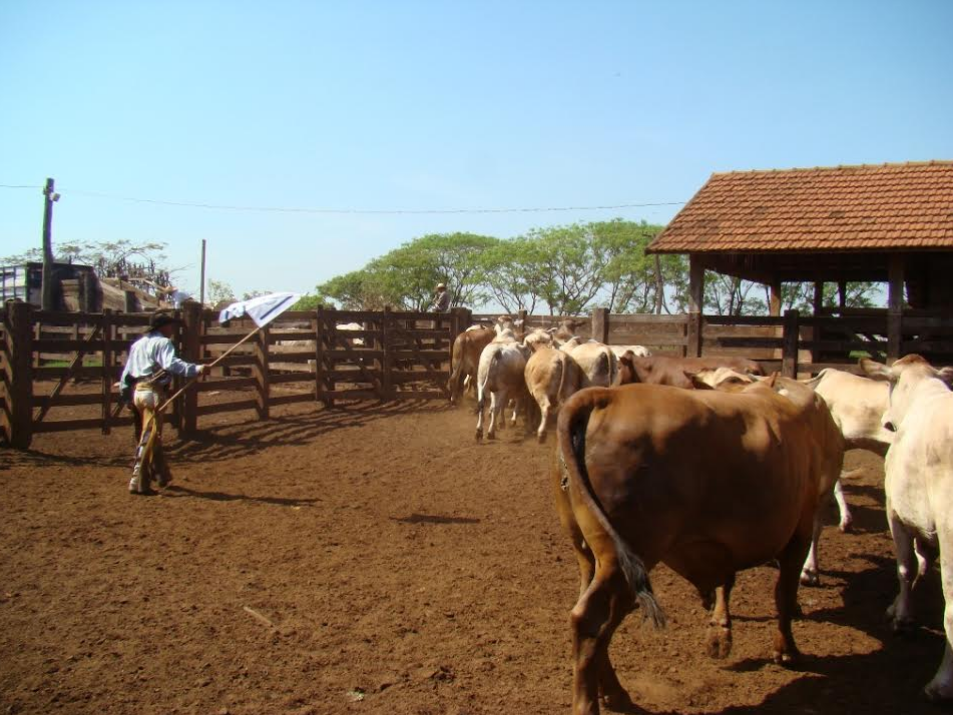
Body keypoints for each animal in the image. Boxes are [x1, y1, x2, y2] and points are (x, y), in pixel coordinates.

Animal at [556, 378, 828, 712]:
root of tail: (607, 396)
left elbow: (729, 582)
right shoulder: (799, 532)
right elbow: (784, 594)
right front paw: (787, 650)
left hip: (590, 554)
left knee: (590, 615)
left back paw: (614, 692)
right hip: (626, 557)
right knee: (590, 621)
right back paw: (589, 704)